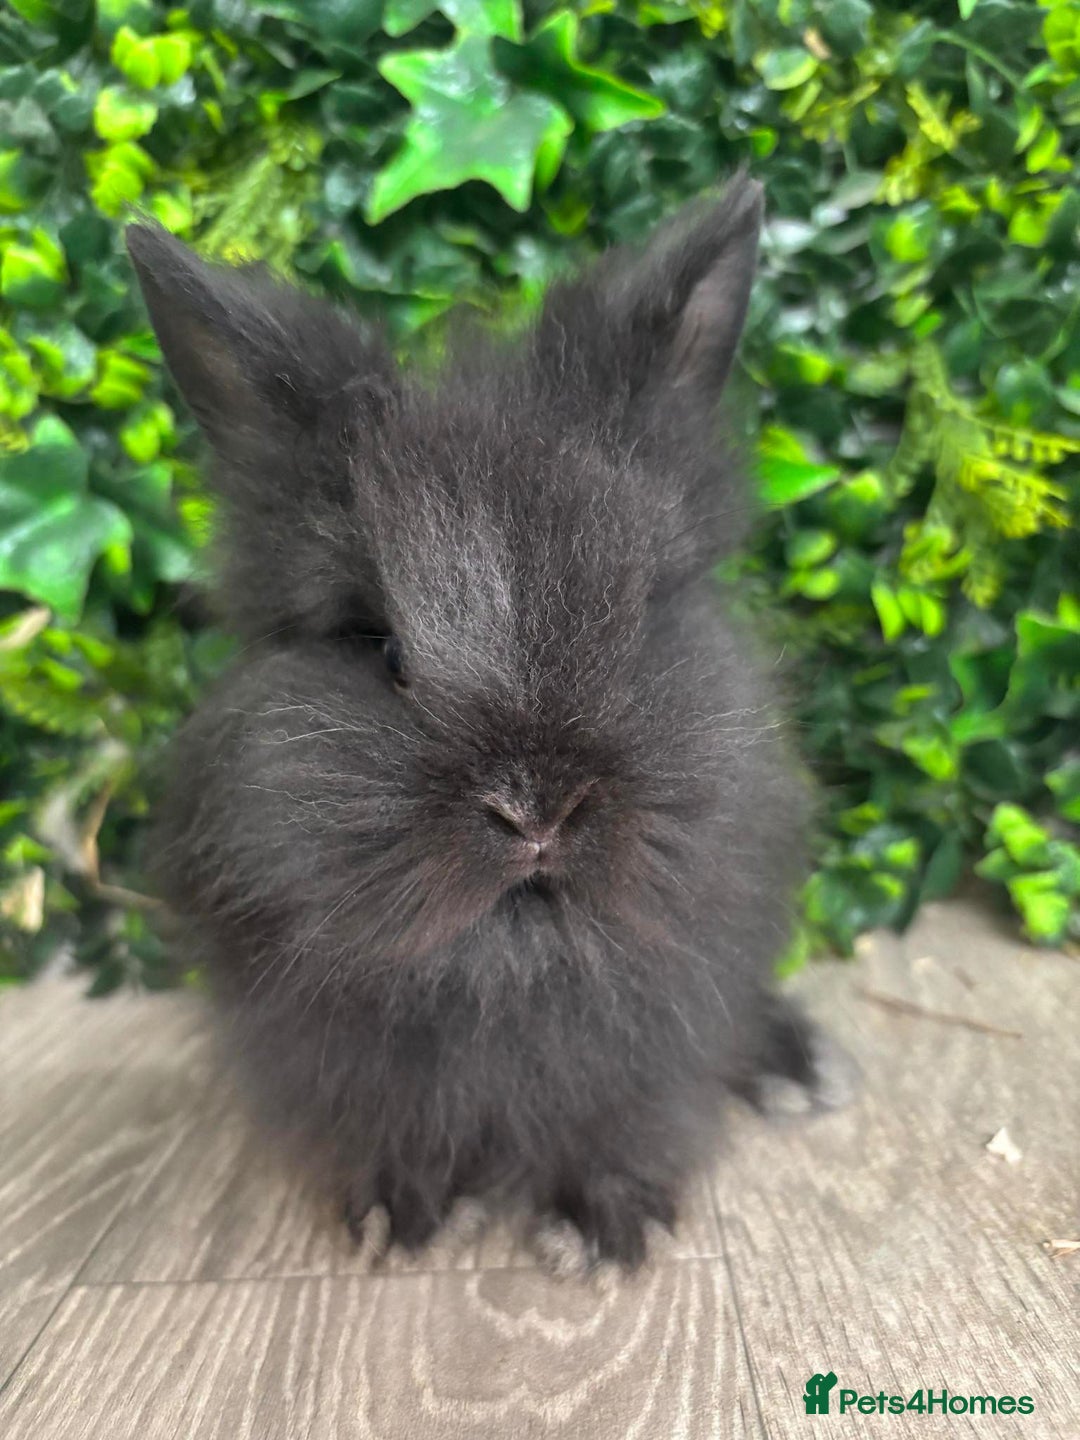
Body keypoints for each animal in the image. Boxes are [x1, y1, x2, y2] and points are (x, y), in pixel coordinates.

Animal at [127, 174, 852, 1274]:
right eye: (381, 646)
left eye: (634, 616)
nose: (534, 807)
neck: (513, 969)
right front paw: (395, 1217)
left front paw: (602, 1226)